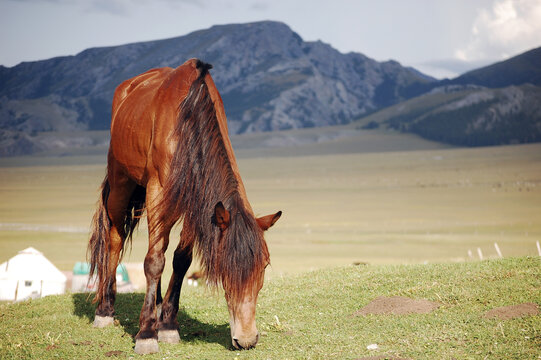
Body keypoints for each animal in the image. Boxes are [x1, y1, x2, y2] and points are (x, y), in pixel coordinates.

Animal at [86, 59, 280, 354]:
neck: (189, 126)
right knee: (114, 240)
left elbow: (180, 261)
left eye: (264, 266)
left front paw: (167, 325)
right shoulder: (157, 195)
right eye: (226, 269)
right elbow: (154, 261)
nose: (247, 340)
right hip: (121, 184)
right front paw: (146, 334)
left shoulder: (197, 206)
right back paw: (105, 310)